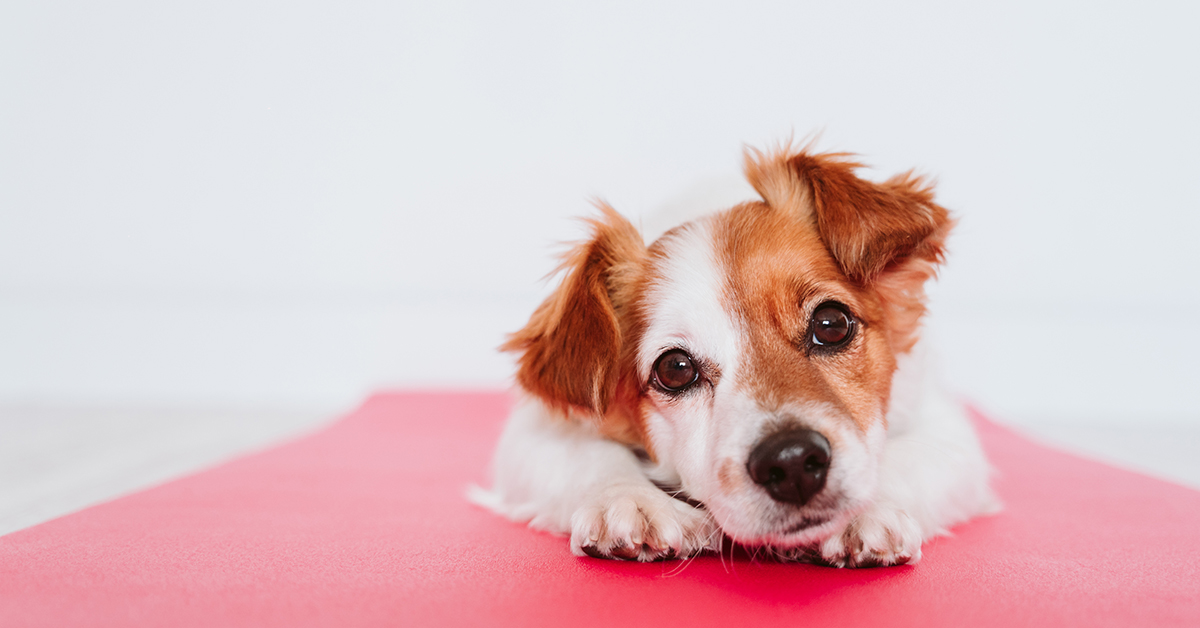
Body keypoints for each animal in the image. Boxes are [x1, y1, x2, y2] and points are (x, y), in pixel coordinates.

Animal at [472, 143, 998, 569]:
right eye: (675, 369)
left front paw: (865, 510)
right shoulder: (536, 430)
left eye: (831, 323)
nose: (792, 461)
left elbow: (909, 457)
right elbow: (588, 457)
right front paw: (630, 501)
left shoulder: (945, 426)